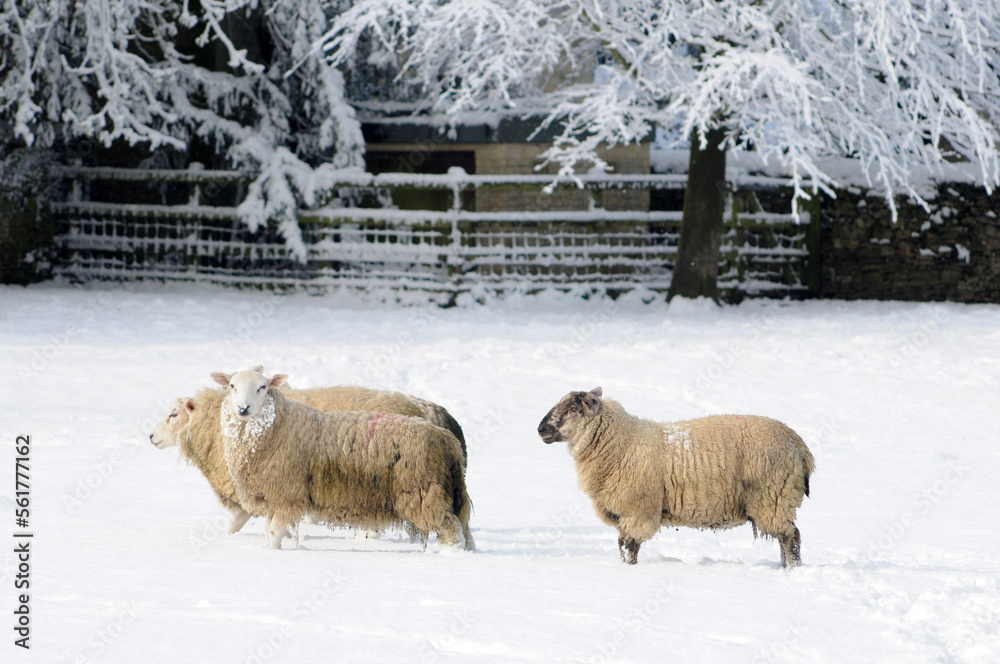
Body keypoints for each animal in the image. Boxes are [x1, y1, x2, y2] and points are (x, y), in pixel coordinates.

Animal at [216, 368, 475, 551]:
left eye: (263, 386)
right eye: (232, 386)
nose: (243, 408)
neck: (278, 426)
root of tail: (445, 439)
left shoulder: (288, 495)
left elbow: (274, 532)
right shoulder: (275, 497)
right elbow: (270, 531)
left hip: (424, 494)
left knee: (451, 530)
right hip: (448, 496)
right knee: (464, 528)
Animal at [537, 388, 814, 568]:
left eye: (574, 408)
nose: (541, 429)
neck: (622, 442)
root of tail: (798, 443)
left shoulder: (638, 510)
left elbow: (628, 547)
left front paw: (628, 570)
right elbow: (622, 545)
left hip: (773, 497)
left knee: (791, 538)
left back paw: (792, 570)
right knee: (785, 538)